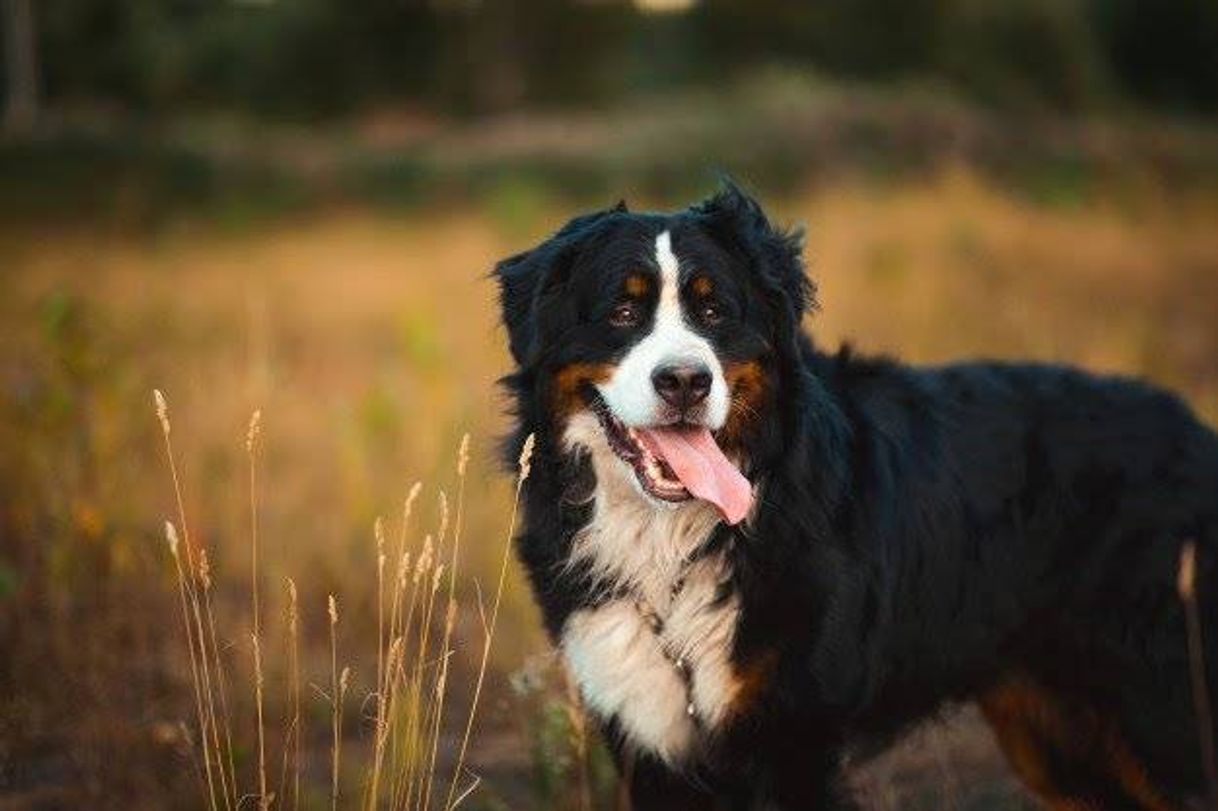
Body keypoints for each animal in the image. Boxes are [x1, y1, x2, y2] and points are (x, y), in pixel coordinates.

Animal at [494, 182, 1218, 808]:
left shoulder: (793, 735)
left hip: (1159, 707)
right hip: (1060, 737)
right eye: (622, 311)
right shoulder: (651, 741)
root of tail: (1193, 428)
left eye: (714, 310)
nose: (685, 382)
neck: (673, 543)